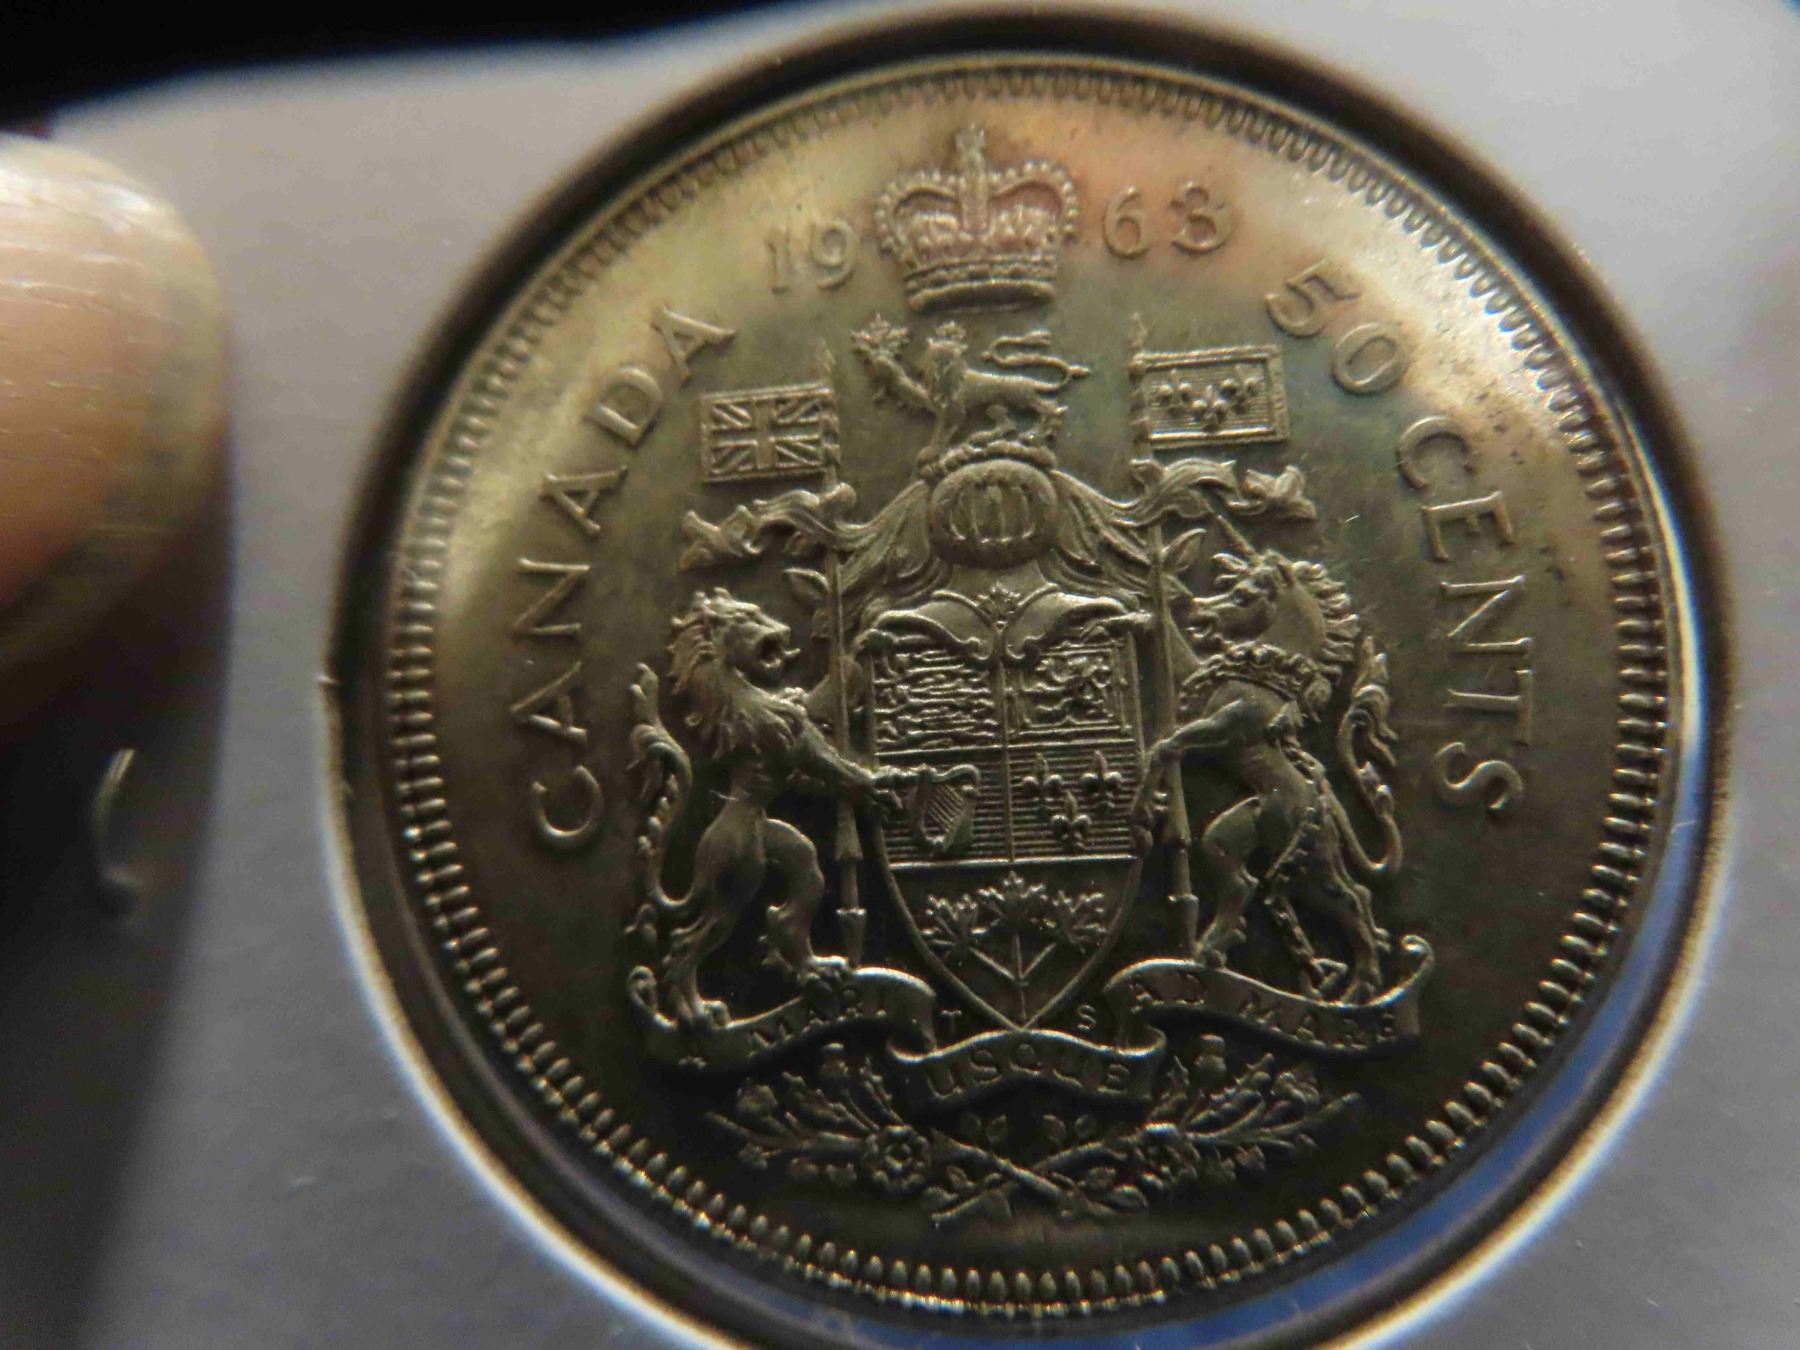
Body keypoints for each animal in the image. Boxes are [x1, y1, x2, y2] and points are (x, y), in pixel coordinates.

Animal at [627, 588, 912, 1031]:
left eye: (757, 612)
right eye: (748, 618)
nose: (783, 631)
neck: (737, 689)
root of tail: (705, 854)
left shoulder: (797, 707)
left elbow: (820, 701)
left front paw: (864, 644)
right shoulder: (787, 732)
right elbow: (830, 763)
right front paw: (876, 784)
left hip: (775, 846)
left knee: (796, 892)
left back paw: (814, 968)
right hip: (737, 877)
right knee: (685, 943)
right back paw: (699, 1014)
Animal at [1134, 550, 1403, 1003]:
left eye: (1243, 595)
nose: (1200, 610)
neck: (1266, 670)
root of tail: (1328, 810)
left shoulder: (1222, 726)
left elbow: (1166, 745)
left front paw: (1144, 810)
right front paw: (1154, 602)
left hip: (1310, 861)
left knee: (1349, 902)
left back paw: (1353, 992)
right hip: (1251, 834)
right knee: (1247, 879)